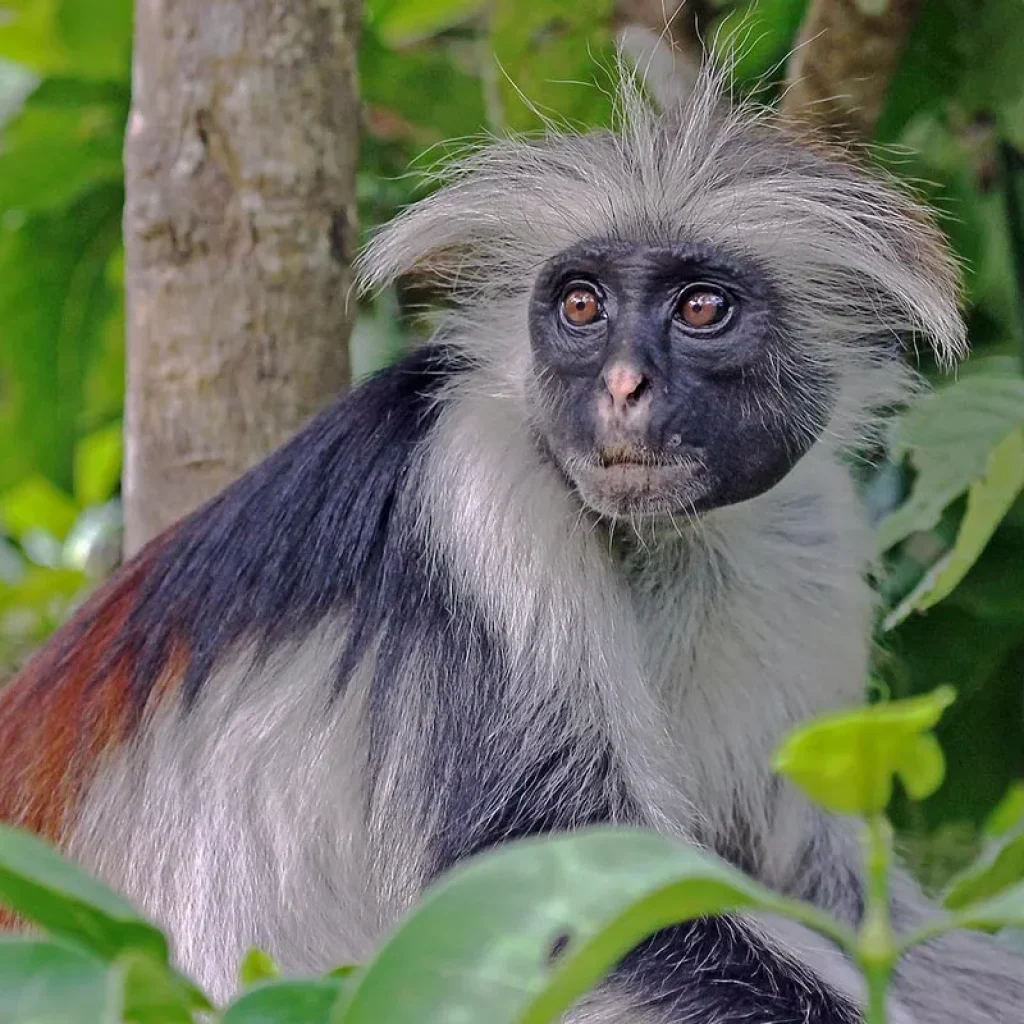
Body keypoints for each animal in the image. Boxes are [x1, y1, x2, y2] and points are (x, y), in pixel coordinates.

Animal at [1, 53, 1022, 1023]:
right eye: (581, 307)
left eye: (701, 309)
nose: (622, 386)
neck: (654, 544)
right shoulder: (482, 491)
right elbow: (556, 908)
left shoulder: (814, 529)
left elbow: (825, 887)